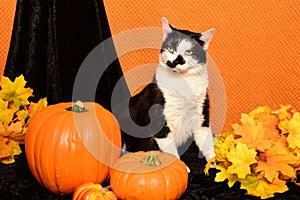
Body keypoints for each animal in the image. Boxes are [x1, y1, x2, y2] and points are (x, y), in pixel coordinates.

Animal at [117, 16, 216, 164]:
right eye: (170, 48)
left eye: (189, 52)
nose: (175, 61)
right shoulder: (160, 121)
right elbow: (171, 152)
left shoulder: (202, 115)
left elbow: (207, 144)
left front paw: (216, 164)